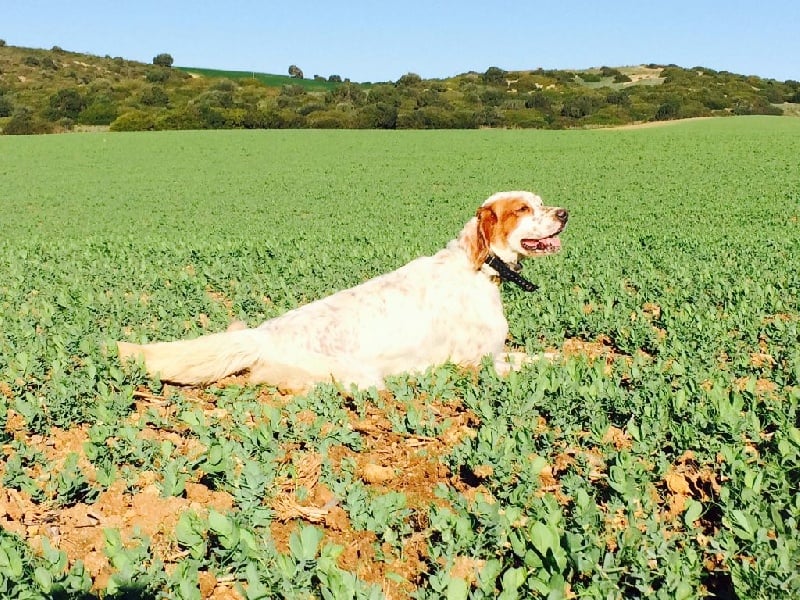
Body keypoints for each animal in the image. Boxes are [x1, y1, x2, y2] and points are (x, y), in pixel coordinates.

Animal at [119, 190, 568, 392]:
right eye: (523, 209)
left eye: (541, 202)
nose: (565, 213)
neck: (481, 269)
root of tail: (261, 335)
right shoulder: (482, 365)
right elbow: (535, 364)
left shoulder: (498, 355)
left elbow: (546, 355)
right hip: (361, 377)